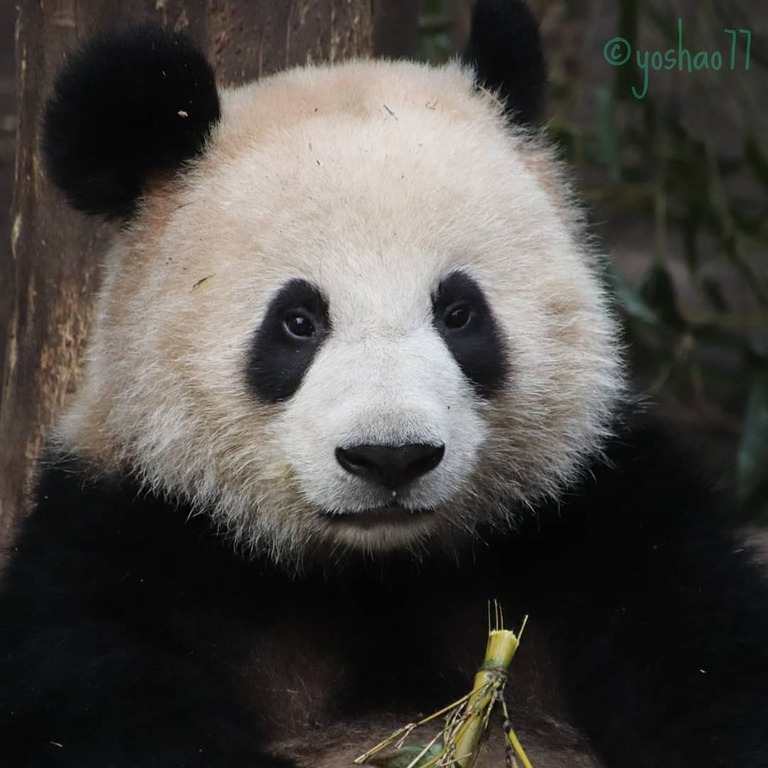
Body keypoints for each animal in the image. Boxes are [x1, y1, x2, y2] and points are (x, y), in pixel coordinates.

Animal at [2, 1, 768, 766]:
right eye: (298, 322)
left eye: (459, 313)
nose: (391, 457)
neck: (378, 571)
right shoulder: (124, 544)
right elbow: (113, 691)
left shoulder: (600, 510)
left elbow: (700, 659)